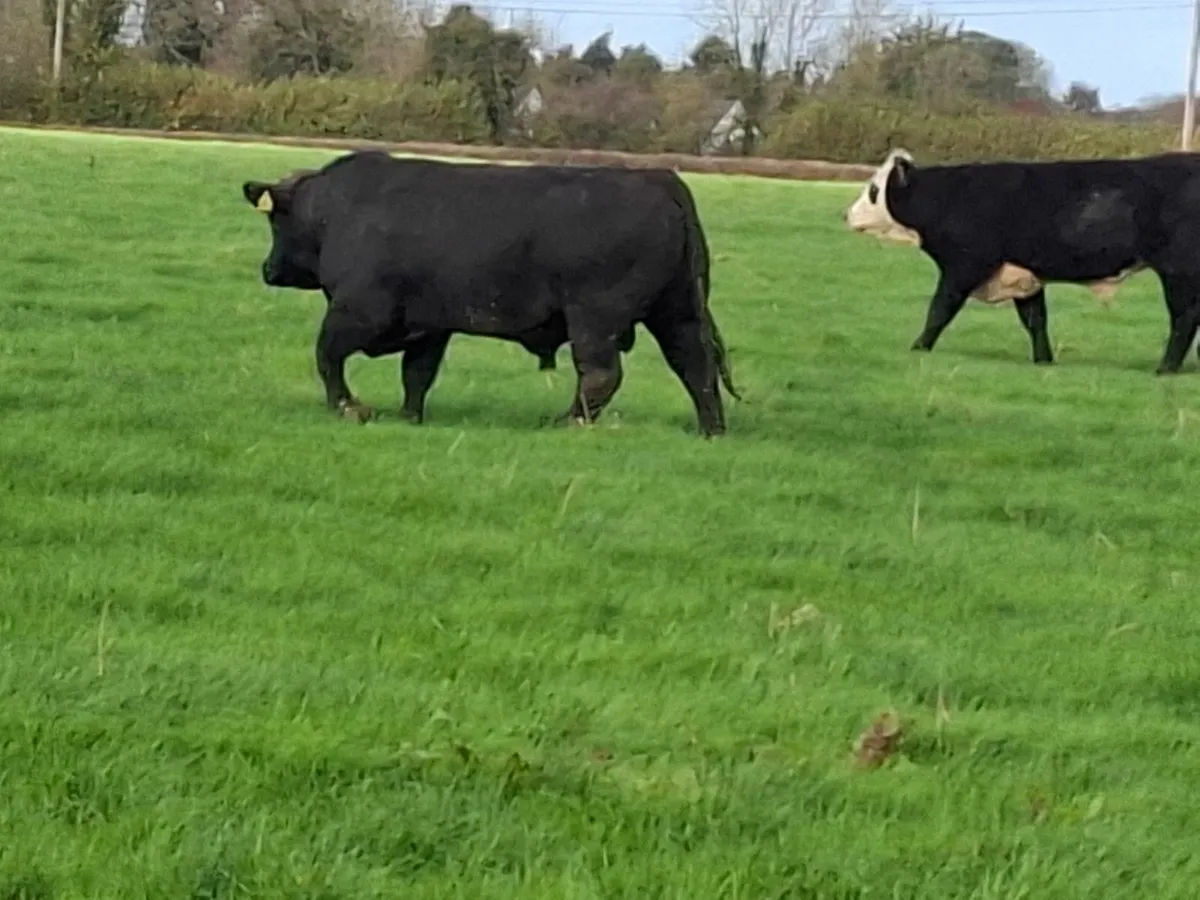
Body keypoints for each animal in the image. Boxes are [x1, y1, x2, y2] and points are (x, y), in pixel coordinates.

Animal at [241, 150, 739, 435]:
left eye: (275, 220)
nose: (268, 269)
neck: (334, 210)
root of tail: (658, 178)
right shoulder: (429, 325)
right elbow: (416, 375)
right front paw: (409, 418)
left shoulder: (358, 309)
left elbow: (327, 355)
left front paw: (349, 408)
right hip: (676, 310)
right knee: (695, 365)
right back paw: (710, 430)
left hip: (594, 317)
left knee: (601, 374)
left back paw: (566, 423)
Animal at [844, 148, 1200, 374]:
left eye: (873, 189)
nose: (846, 214)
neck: (950, 196)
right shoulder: (1023, 274)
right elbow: (1035, 320)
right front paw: (1044, 361)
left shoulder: (963, 267)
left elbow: (939, 311)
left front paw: (918, 348)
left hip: (1178, 272)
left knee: (1184, 319)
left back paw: (1165, 369)